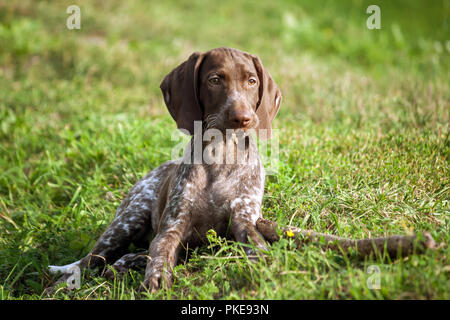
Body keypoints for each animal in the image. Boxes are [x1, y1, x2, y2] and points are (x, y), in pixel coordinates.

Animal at [49, 47, 282, 292]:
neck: (222, 154)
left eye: (252, 81)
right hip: (127, 220)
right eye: (215, 80)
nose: (242, 118)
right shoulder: (171, 228)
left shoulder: (244, 219)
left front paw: (267, 270)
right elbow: (160, 255)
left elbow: (257, 245)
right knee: (90, 259)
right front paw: (156, 281)